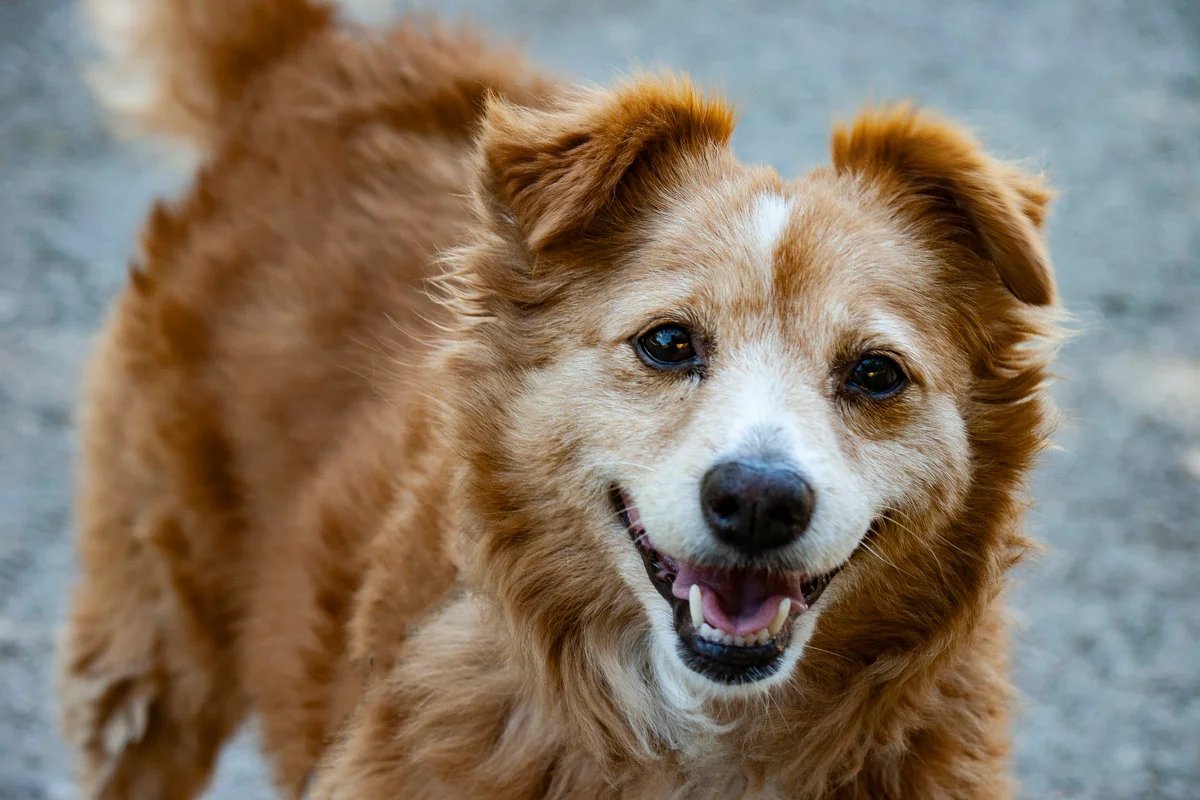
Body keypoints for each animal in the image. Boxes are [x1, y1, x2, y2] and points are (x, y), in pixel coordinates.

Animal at [60, 1, 1065, 796]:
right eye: (668, 343)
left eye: (876, 374)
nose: (757, 500)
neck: (705, 734)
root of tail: (310, 58)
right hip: (155, 654)